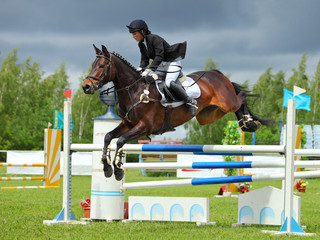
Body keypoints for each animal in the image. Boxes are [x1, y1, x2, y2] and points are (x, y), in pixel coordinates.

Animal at [81, 44, 266, 180]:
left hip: (227, 102)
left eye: (102, 65)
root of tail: (216, 73)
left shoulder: (144, 126)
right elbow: (108, 137)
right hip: (210, 115)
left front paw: (118, 170)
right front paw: (107, 167)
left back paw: (250, 123)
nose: (86, 87)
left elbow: (120, 141)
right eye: (92, 65)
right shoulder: (128, 124)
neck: (134, 91)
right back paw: (246, 123)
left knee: (241, 97)